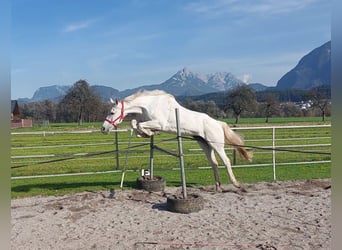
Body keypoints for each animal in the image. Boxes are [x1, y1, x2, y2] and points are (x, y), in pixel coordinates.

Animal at [100, 90, 252, 191]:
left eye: (112, 112)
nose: (103, 128)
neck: (149, 105)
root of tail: (218, 123)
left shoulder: (159, 123)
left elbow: (139, 125)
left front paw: (148, 133)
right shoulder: (146, 121)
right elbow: (134, 124)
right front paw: (146, 134)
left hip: (216, 145)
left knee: (226, 161)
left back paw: (236, 184)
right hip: (205, 144)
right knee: (214, 163)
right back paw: (217, 186)